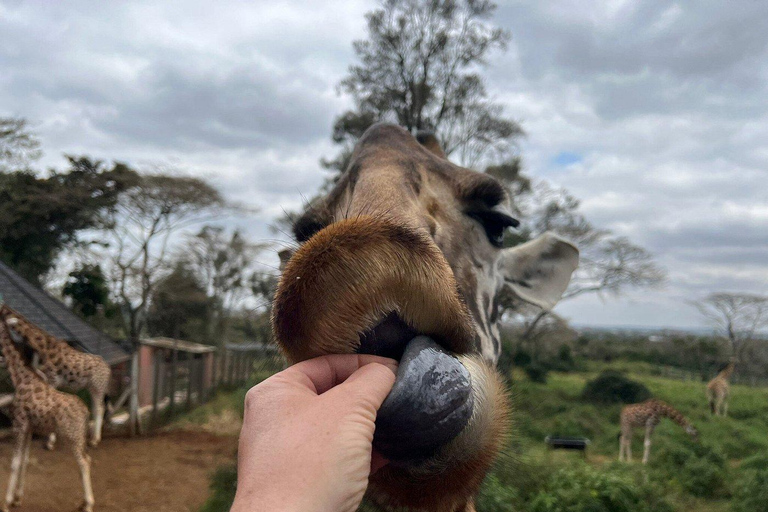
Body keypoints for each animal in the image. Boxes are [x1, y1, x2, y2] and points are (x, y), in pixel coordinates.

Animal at [0, 304, 111, 448]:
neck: (43, 346)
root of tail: (108, 369)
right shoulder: (48, 379)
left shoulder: (52, 379)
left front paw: (49, 442)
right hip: (92, 387)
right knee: (97, 407)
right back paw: (93, 437)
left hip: (98, 386)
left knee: (100, 408)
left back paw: (94, 440)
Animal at [0, 312, 94, 512]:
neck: (19, 377)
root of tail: (86, 412)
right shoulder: (29, 427)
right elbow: (24, 460)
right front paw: (17, 499)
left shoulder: (19, 423)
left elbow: (14, 462)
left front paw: (6, 503)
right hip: (79, 435)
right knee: (87, 458)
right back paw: (83, 502)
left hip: (72, 435)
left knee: (83, 461)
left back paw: (89, 504)